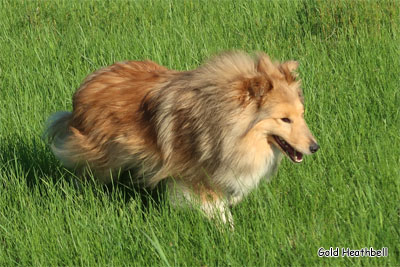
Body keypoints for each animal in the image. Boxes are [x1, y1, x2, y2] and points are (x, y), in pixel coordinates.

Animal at [44, 51, 318, 226]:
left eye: (301, 115)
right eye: (285, 119)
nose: (315, 147)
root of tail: (85, 85)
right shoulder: (193, 173)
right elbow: (214, 206)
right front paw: (226, 228)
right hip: (101, 156)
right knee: (85, 175)